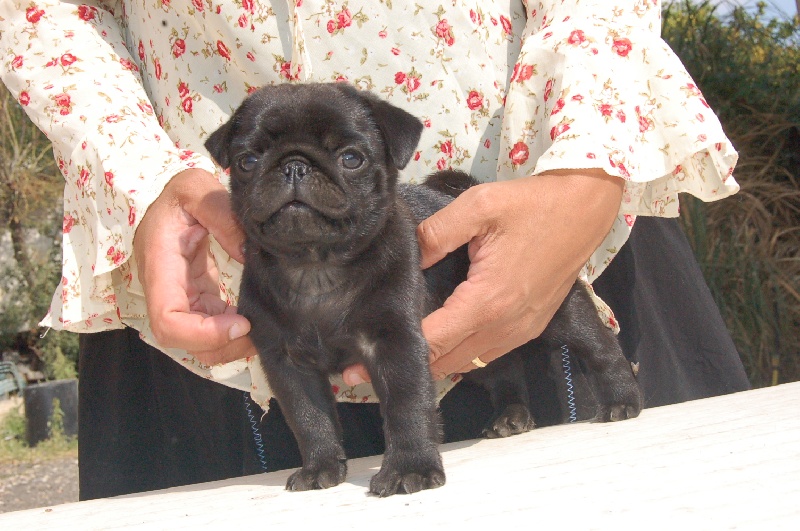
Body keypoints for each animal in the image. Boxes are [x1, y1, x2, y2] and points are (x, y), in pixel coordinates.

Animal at [205, 83, 643, 497]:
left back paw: (622, 400)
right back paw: (511, 416)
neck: (315, 268)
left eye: (351, 158)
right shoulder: (287, 361)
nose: (295, 166)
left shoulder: (395, 343)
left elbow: (406, 408)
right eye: (247, 162)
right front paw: (320, 467)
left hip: (557, 312)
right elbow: (309, 418)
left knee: (598, 345)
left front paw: (408, 469)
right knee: (504, 368)